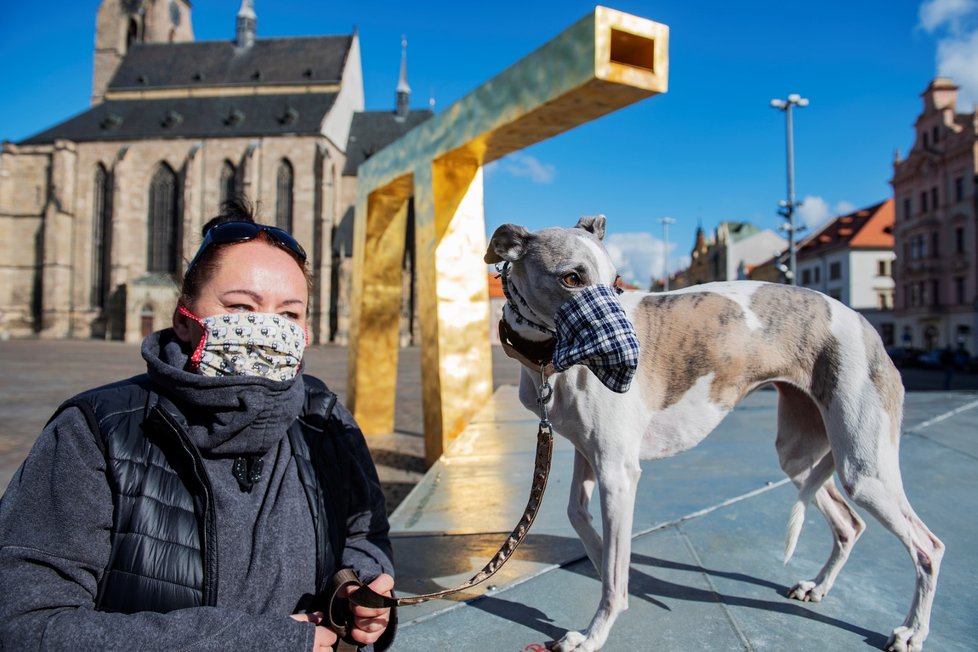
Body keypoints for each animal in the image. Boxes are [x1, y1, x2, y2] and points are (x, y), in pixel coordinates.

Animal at [484, 216, 940, 648]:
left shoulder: (618, 471)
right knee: (849, 524)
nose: (627, 360)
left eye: (616, 283)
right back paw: (818, 586)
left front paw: (594, 633)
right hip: (799, 453)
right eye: (571, 279)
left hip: (864, 469)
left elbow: (613, 574)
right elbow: (580, 519)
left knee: (928, 547)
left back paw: (912, 632)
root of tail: (864, 321)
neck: (548, 362)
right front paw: (610, 566)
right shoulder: (590, 453)